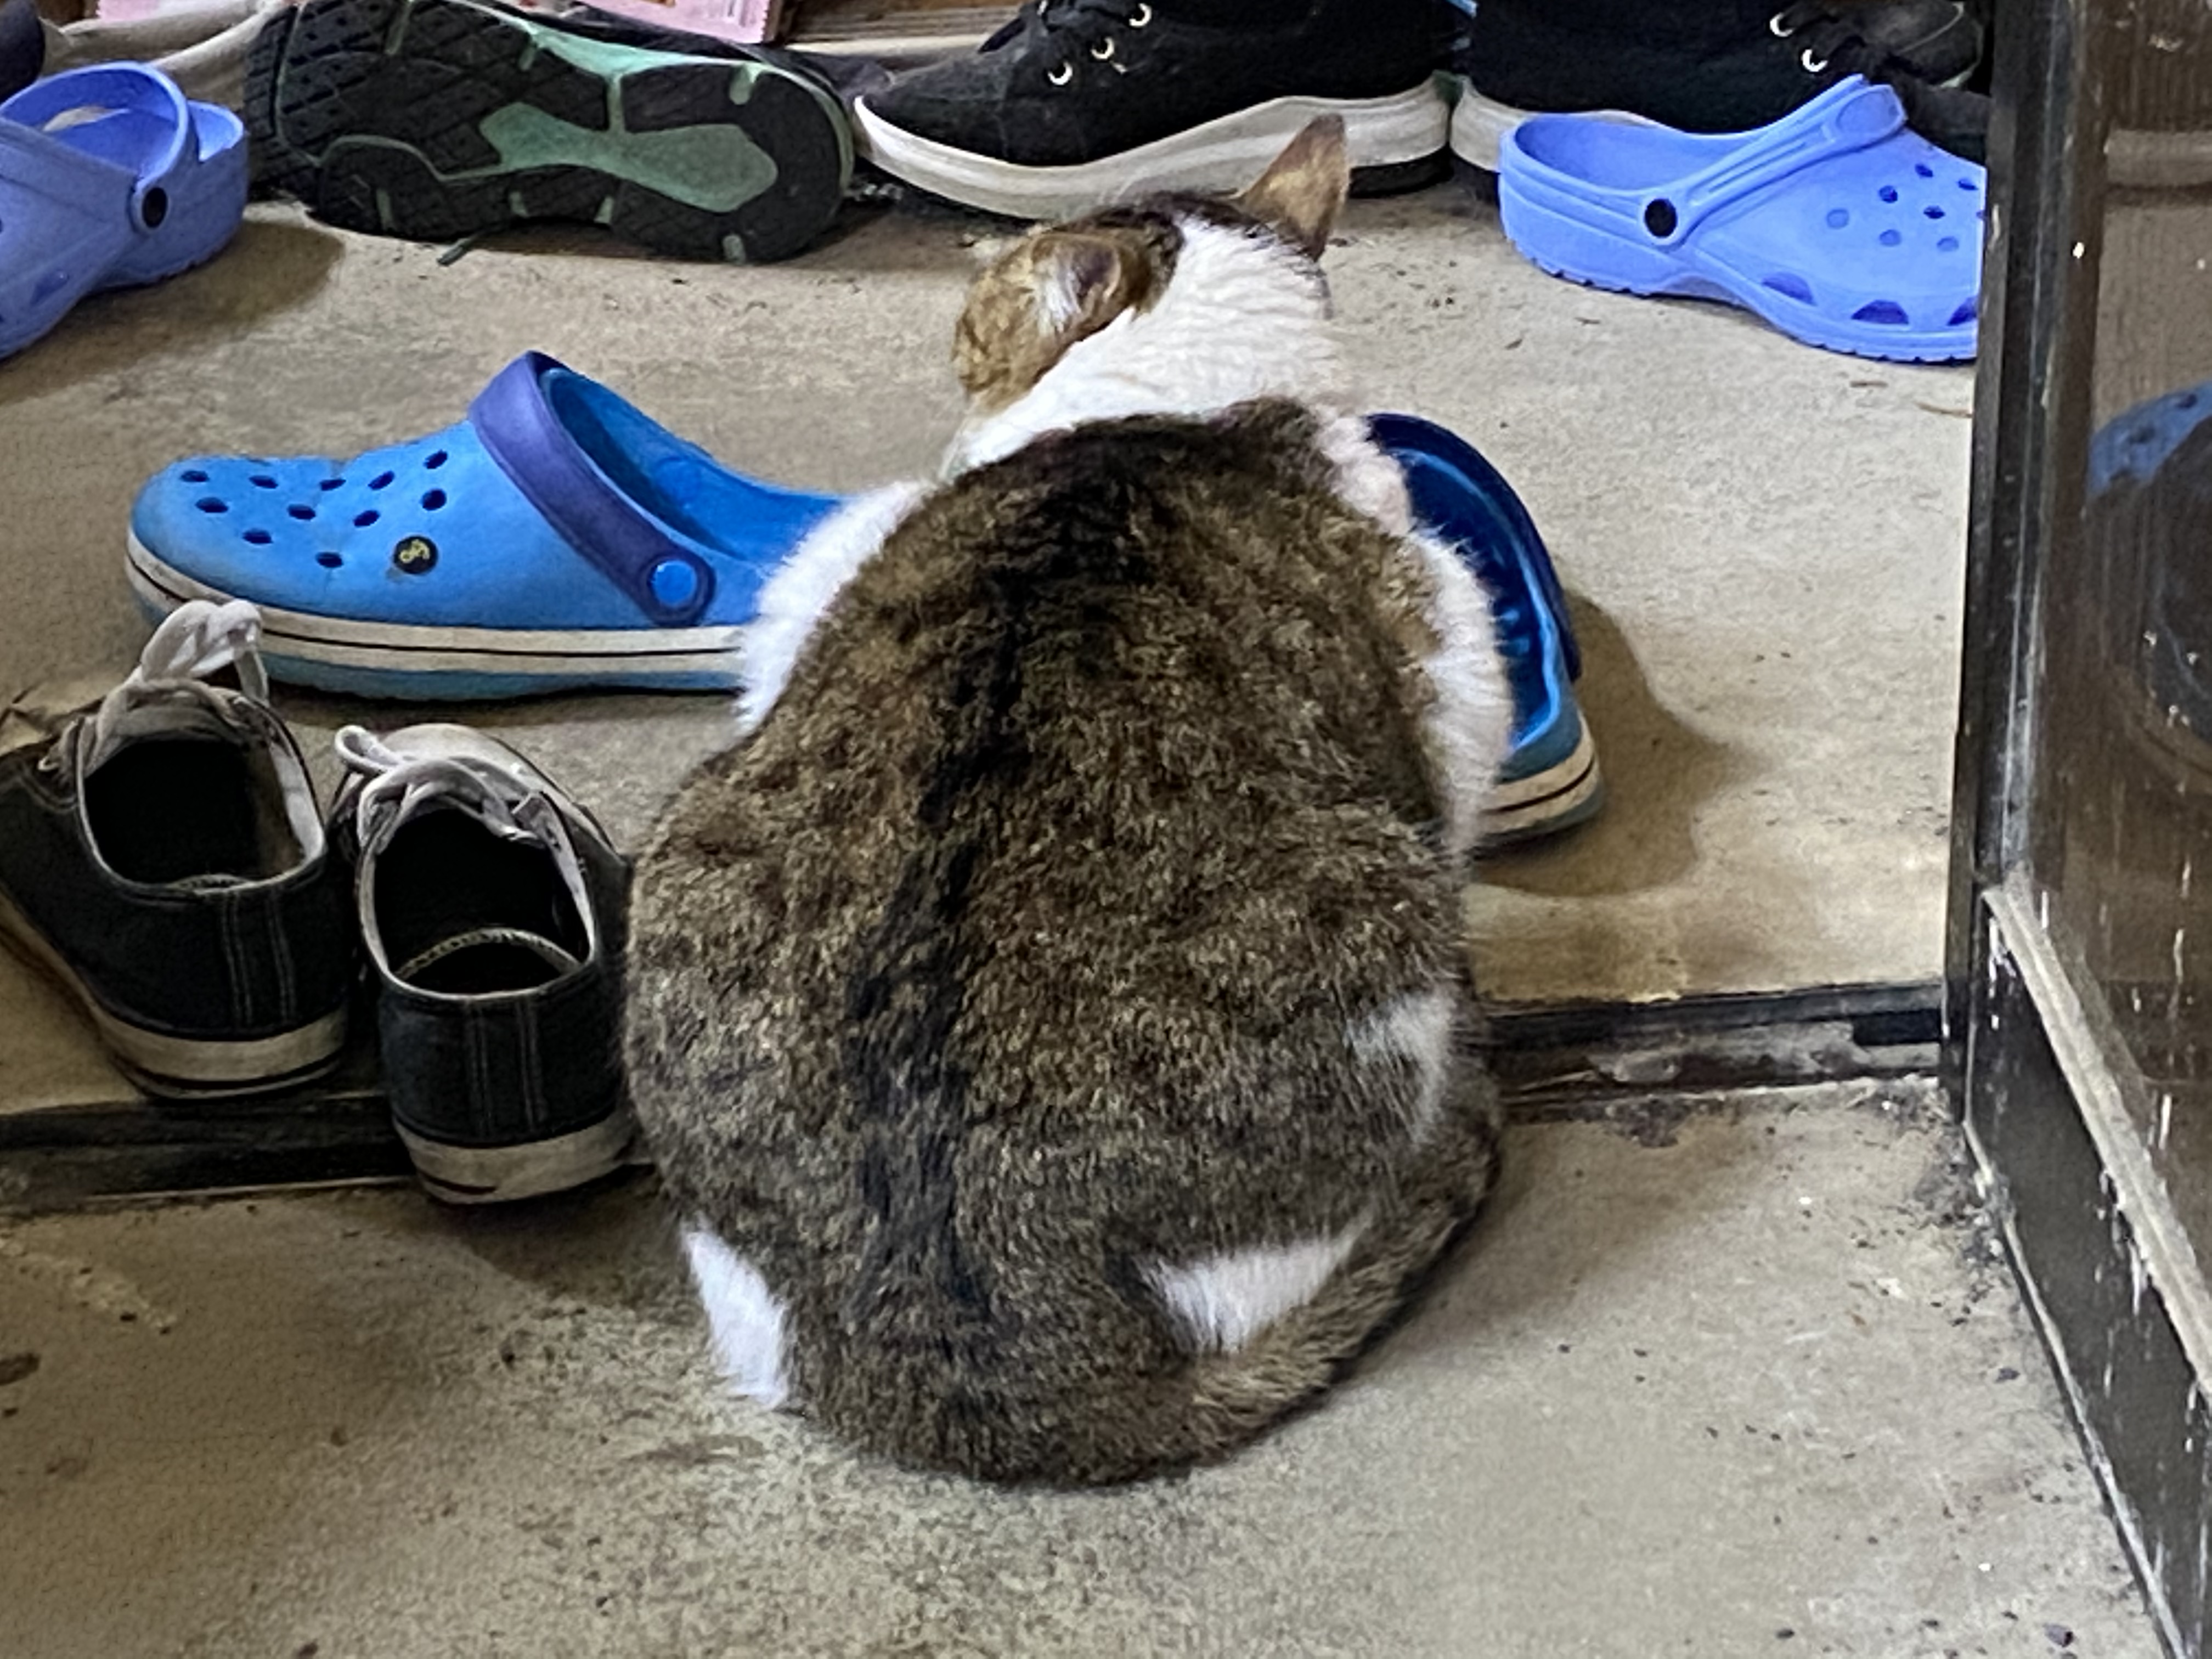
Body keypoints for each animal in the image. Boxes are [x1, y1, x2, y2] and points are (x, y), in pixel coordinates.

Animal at [624, 118, 1517, 1486]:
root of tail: (978, 1348)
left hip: (690, 845)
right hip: (1393, 921)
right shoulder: (1457, 667)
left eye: (972, 320)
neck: (1165, 413)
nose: (957, 344)